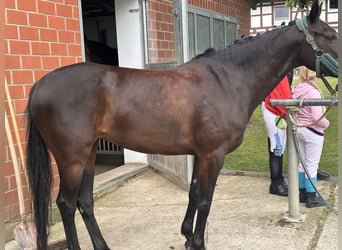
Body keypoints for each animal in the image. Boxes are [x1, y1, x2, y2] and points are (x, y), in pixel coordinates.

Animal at [26, 0, 336, 249]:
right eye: (331, 35)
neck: (227, 80)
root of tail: (41, 84)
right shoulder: (213, 155)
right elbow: (206, 199)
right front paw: (198, 242)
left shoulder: (200, 154)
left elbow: (194, 192)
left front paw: (187, 235)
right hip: (71, 159)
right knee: (66, 204)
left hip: (88, 154)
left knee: (85, 202)